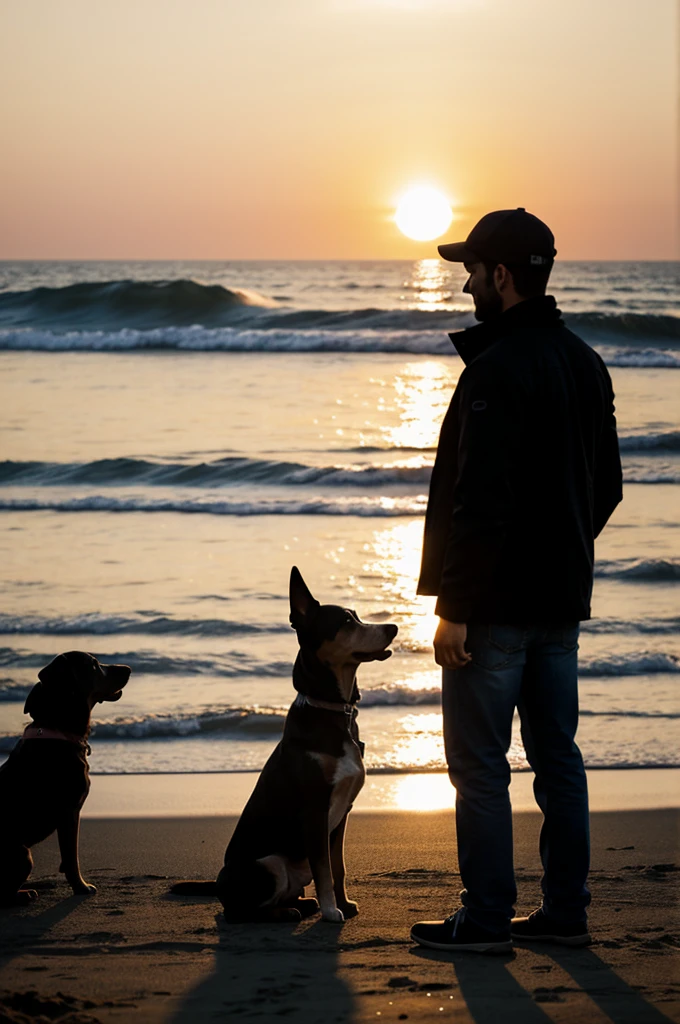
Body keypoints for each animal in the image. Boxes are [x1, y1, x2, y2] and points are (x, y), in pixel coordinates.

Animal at [0, 655, 130, 905]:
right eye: (94, 664)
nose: (127, 668)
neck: (59, 729)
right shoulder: (70, 811)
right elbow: (71, 858)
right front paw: (81, 887)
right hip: (23, 854)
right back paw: (23, 894)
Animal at [171, 565, 399, 925]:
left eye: (358, 616)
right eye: (346, 622)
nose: (393, 627)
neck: (333, 709)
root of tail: (219, 885)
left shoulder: (341, 815)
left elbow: (338, 867)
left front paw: (344, 904)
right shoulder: (315, 811)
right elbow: (325, 870)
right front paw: (332, 910)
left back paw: (302, 905)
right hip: (268, 863)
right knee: (238, 912)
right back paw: (288, 911)